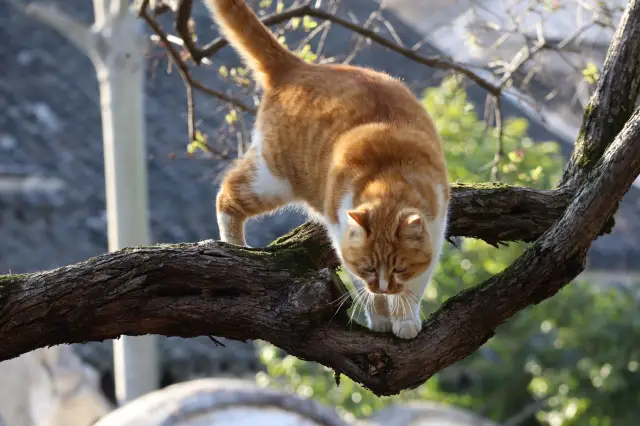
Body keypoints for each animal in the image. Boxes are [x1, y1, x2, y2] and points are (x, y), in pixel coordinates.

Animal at [206, 0, 450, 340]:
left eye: (399, 268)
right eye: (369, 268)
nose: (383, 287)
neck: (388, 176)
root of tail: (297, 67)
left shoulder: (435, 234)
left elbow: (413, 288)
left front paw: (404, 319)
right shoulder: (343, 237)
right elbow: (363, 288)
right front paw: (381, 317)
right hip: (273, 179)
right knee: (227, 194)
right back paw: (234, 248)